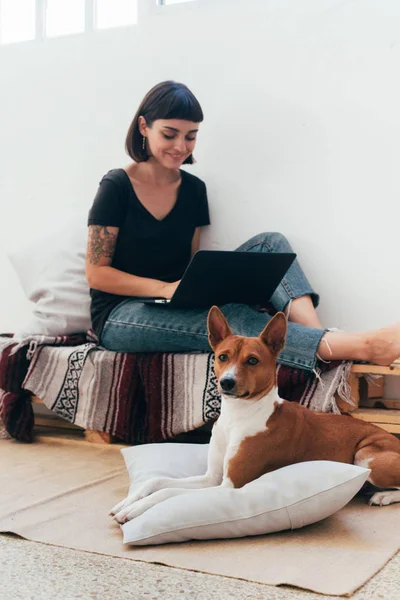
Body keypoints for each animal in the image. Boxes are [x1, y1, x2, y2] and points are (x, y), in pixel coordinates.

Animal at [111, 308, 400, 524]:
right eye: (222, 357)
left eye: (252, 360)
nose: (226, 382)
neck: (238, 416)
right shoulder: (211, 477)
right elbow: (157, 480)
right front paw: (127, 501)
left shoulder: (228, 485)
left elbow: (169, 492)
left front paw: (135, 511)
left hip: (366, 457)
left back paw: (383, 497)